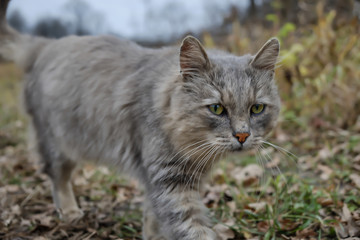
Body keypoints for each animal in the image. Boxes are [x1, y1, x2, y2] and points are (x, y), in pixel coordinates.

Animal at [0, 0, 282, 239]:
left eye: (257, 108)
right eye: (217, 108)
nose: (242, 135)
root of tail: (46, 45)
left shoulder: (164, 181)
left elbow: (152, 220)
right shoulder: (169, 181)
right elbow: (191, 227)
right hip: (58, 146)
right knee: (57, 178)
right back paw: (70, 212)